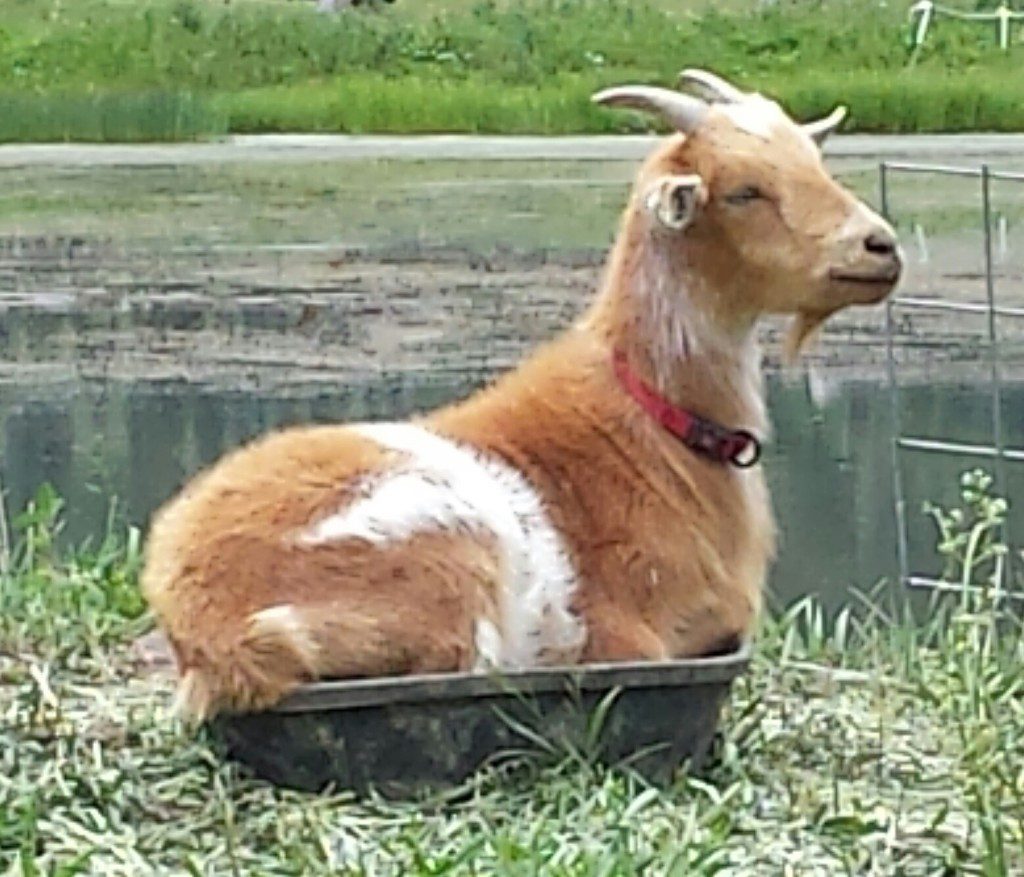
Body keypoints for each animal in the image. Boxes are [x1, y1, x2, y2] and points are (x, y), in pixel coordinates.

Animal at [138, 70, 905, 721]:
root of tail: (209, 625)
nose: (880, 246)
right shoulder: (624, 633)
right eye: (745, 190)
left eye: (816, 164)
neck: (653, 419)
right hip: (441, 547)